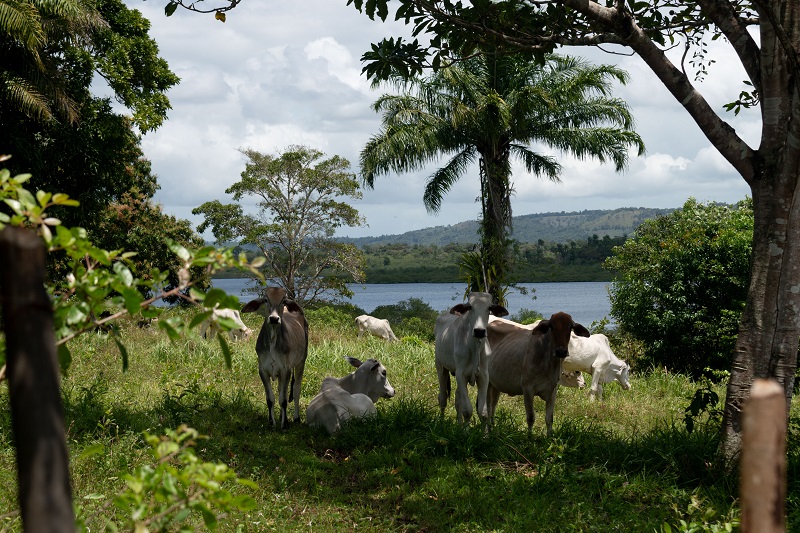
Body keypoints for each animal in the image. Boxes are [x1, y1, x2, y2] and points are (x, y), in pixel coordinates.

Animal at [239, 286, 308, 428]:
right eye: (266, 300)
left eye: (283, 301)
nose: (274, 319)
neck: (272, 340)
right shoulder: (263, 370)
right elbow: (270, 399)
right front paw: (272, 422)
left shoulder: (286, 370)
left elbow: (283, 400)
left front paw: (285, 423)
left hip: (301, 361)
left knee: (296, 390)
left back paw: (296, 418)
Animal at [434, 290, 510, 424]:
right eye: (470, 307)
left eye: (489, 307)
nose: (479, 331)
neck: (475, 347)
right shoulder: (461, 374)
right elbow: (467, 411)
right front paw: (466, 429)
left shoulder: (484, 376)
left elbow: (482, 412)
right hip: (441, 367)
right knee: (442, 397)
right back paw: (442, 422)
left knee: (458, 399)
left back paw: (458, 424)